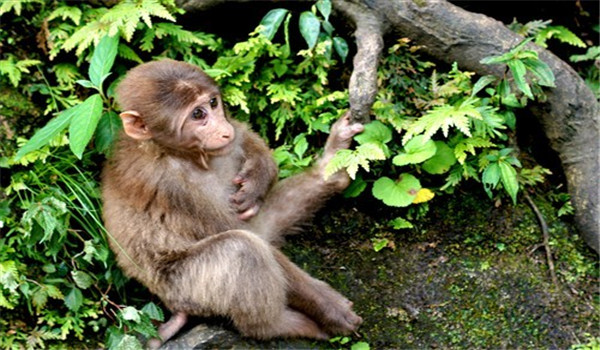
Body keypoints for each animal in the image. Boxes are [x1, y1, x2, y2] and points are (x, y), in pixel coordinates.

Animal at [101, 58, 364, 346]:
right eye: (197, 114)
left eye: (213, 103)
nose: (222, 130)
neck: (177, 153)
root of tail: (173, 306)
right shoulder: (169, 186)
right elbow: (227, 230)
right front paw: (331, 309)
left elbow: (242, 136)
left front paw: (258, 176)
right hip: (188, 288)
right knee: (243, 247)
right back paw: (275, 326)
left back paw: (331, 169)